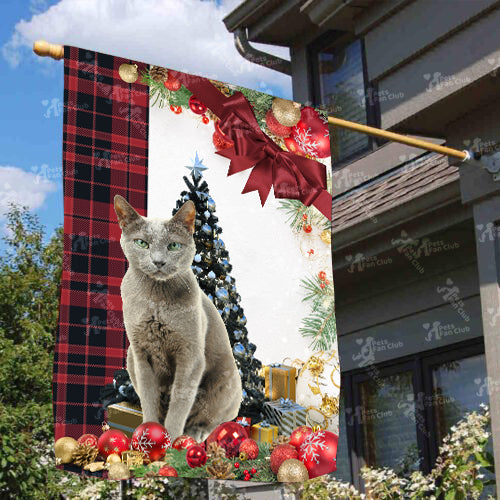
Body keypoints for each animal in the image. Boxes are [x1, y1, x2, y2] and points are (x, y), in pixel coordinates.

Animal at [115, 195, 244, 442]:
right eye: (142, 243)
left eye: (173, 245)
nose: (158, 262)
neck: (155, 301)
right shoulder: (140, 354)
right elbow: (148, 397)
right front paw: (149, 431)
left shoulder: (190, 356)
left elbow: (180, 401)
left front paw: (171, 440)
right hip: (128, 356)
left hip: (227, 382)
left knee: (214, 416)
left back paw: (197, 431)